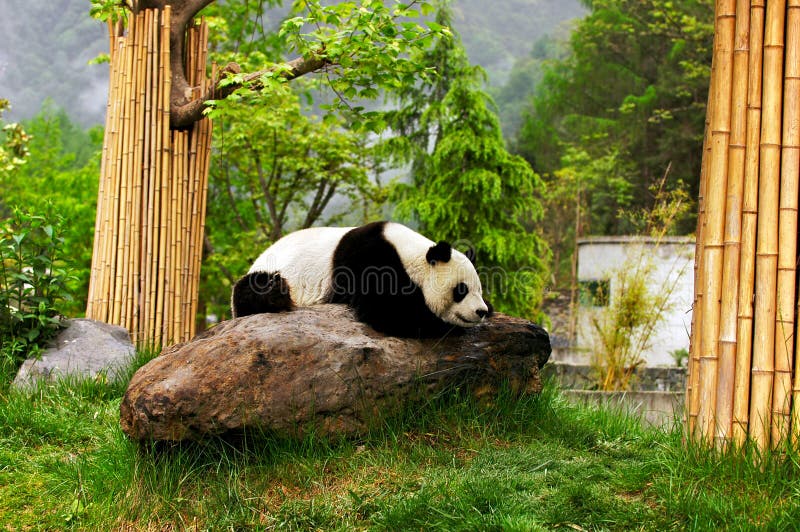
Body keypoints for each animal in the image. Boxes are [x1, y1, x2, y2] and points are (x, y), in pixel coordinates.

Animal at [231, 220, 490, 336]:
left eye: (480, 290)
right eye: (461, 290)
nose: (481, 311)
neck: (411, 254)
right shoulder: (369, 258)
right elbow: (387, 311)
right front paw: (439, 323)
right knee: (251, 289)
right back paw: (275, 294)